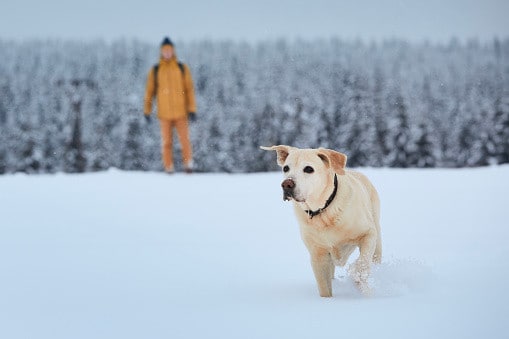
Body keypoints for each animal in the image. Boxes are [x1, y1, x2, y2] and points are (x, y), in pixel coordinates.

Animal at [262, 146, 380, 298]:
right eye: (286, 168)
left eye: (308, 169)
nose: (286, 184)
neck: (323, 211)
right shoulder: (318, 255)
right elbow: (324, 286)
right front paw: (326, 301)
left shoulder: (368, 234)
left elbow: (362, 262)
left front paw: (360, 281)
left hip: (377, 233)